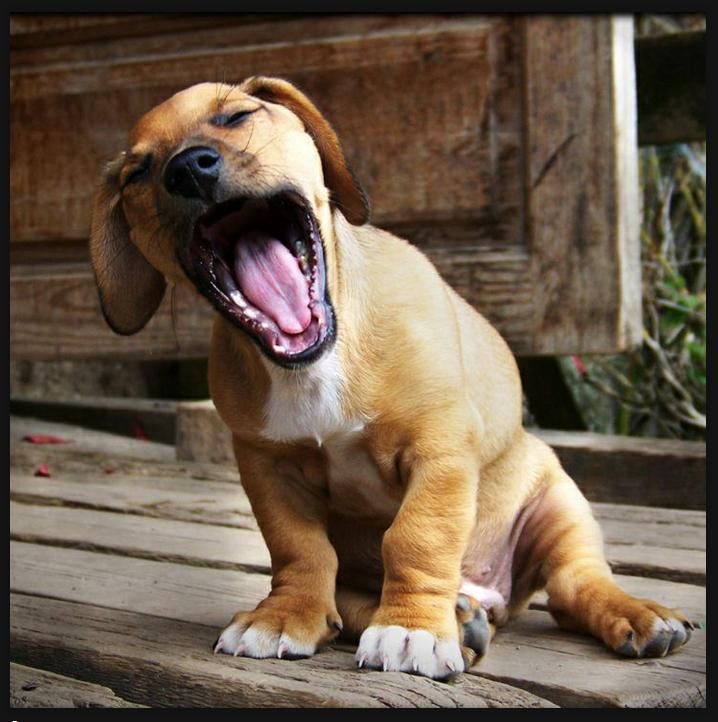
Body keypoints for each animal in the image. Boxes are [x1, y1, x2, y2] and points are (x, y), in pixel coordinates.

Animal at [89, 77, 692, 680]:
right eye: (138, 174)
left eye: (237, 116)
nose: (188, 169)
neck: (319, 359)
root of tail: (496, 594)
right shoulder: (269, 471)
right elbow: (299, 550)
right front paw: (285, 616)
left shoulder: (439, 453)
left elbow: (417, 539)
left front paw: (412, 629)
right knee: (351, 596)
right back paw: (461, 616)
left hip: (561, 505)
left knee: (573, 585)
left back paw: (636, 615)